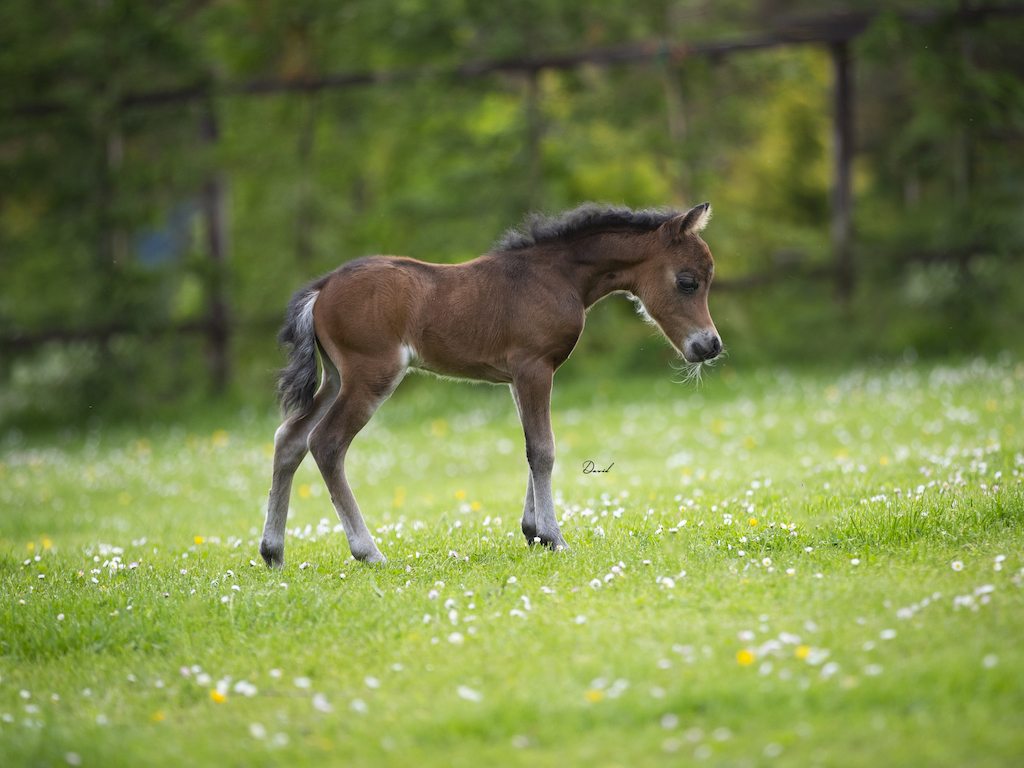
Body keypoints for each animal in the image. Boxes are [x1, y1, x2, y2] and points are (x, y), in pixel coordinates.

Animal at [260, 202, 721, 567]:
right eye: (687, 282)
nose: (710, 345)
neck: (557, 276)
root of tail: (322, 288)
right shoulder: (534, 366)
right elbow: (543, 449)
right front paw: (554, 538)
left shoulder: (519, 376)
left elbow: (531, 446)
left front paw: (533, 530)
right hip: (370, 375)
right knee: (326, 443)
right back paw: (368, 551)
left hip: (337, 376)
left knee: (290, 438)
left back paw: (273, 552)